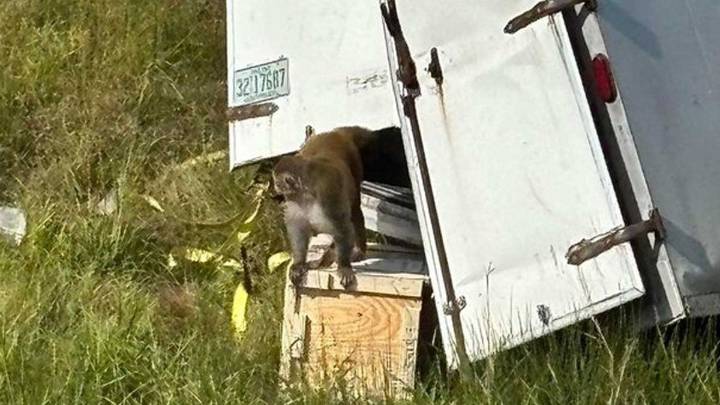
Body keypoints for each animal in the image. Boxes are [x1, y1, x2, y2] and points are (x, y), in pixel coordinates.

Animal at [272, 126, 410, 289]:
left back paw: (357, 250)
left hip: (354, 164)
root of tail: (336, 133)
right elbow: (298, 230)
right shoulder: (295, 201)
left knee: (355, 211)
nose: (275, 187)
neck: (306, 193)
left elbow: (343, 228)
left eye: (277, 181)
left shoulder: (328, 195)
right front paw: (299, 263)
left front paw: (343, 266)